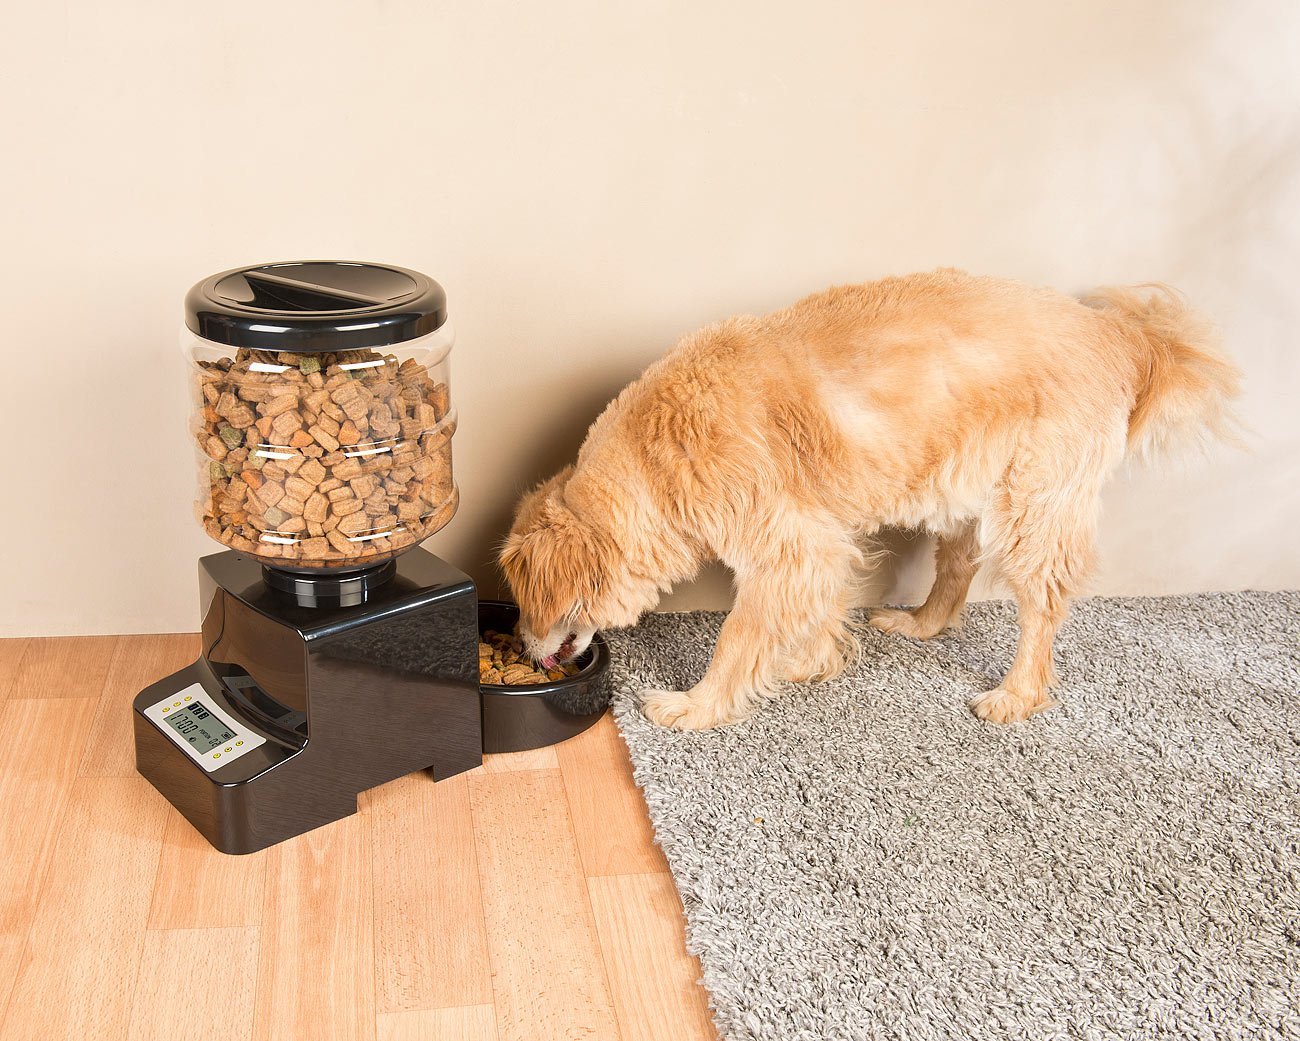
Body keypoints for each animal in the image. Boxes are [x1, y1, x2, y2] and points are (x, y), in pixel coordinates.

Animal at [496, 271, 1237, 727]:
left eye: (529, 604)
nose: (523, 647)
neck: (662, 451)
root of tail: (1122, 334)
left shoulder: (792, 544)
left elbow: (738, 637)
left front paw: (699, 705)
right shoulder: (821, 542)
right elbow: (817, 612)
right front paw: (811, 661)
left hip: (1033, 506)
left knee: (1043, 606)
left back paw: (1015, 695)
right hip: (963, 491)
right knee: (958, 570)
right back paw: (921, 624)